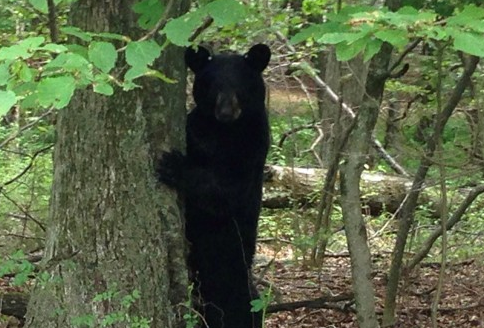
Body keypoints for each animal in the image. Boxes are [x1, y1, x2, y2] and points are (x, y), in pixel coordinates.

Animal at [160, 44, 270, 328]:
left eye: (241, 85)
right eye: (212, 86)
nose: (226, 112)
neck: (224, 132)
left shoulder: (253, 146)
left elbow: (226, 191)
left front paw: (173, 166)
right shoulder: (197, 128)